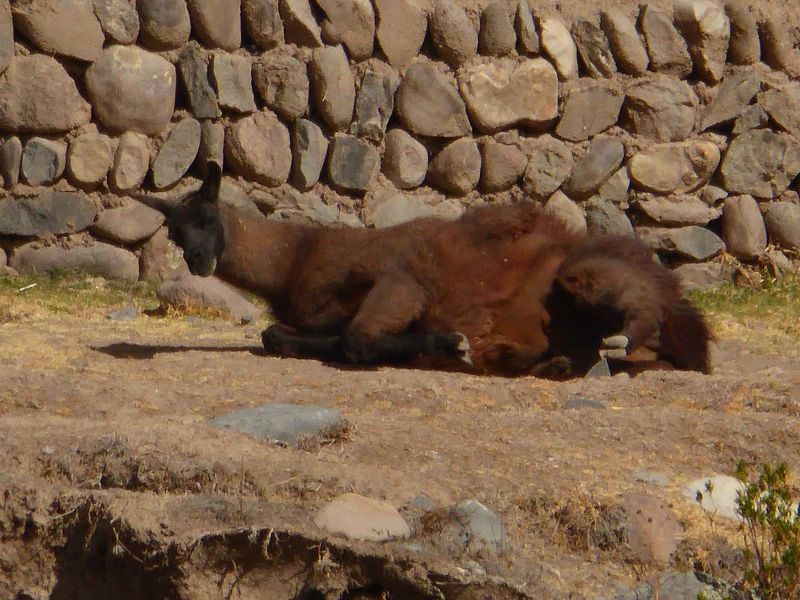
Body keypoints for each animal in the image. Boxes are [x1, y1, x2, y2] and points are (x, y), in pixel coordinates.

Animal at [138, 161, 712, 379]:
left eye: (207, 219)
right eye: (175, 234)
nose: (198, 261)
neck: (297, 257)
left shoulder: (400, 278)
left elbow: (358, 340)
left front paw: (449, 344)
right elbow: (279, 335)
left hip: (586, 270)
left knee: (649, 311)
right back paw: (558, 362)